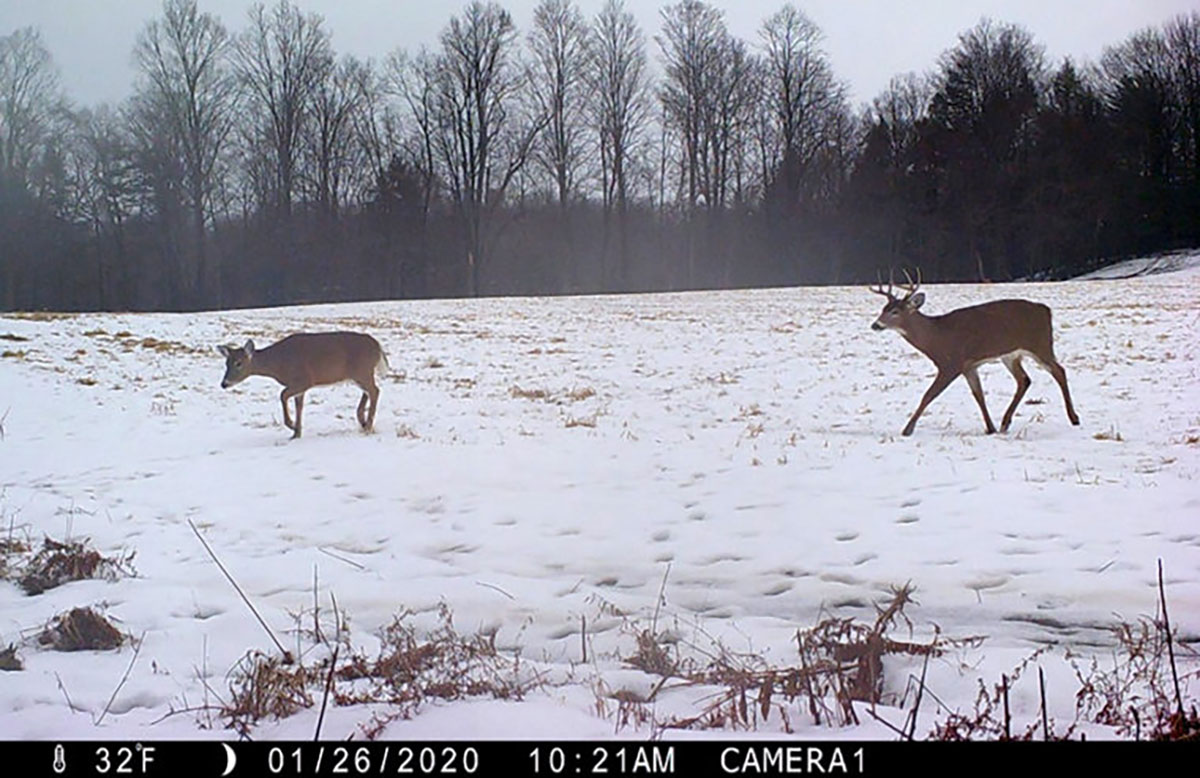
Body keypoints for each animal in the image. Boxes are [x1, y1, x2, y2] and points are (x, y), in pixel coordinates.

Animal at [213, 333, 386, 441]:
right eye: (226, 363)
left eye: (239, 363)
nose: (224, 383)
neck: (278, 363)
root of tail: (378, 346)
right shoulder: (300, 387)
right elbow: (299, 406)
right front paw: (296, 433)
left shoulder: (304, 380)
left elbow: (282, 395)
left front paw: (292, 425)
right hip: (360, 374)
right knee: (369, 391)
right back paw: (363, 422)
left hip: (362, 371)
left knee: (375, 391)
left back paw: (368, 426)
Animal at [873, 270, 1080, 434]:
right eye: (883, 308)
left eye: (895, 312)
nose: (875, 325)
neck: (936, 338)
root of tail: (1046, 310)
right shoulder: (969, 366)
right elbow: (978, 395)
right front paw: (990, 428)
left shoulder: (951, 364)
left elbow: (929, 395)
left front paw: (907, 429)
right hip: (1011, 355)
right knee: (1024, 380)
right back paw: (1004, 423)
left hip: (1040, 344)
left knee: (1059, 371)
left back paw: (1074, 418)